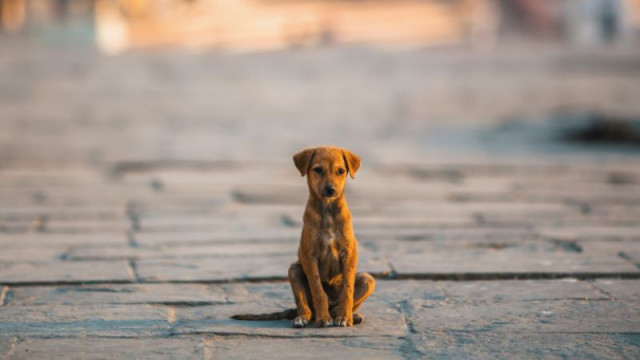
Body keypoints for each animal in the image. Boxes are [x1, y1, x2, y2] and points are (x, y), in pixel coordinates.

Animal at [232, 146, 376, 326]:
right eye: (318, 170)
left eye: (341, 171)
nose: (331, 190)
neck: (327, 211)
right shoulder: (309, 255)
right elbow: (318, 290)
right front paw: (323, 319)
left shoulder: (349, 253)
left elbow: (347, 290)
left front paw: (344, 317)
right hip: (294, 270)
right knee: (305, 306)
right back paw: (304, 318)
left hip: (367, 279)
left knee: (341, 303)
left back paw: (349, 315)